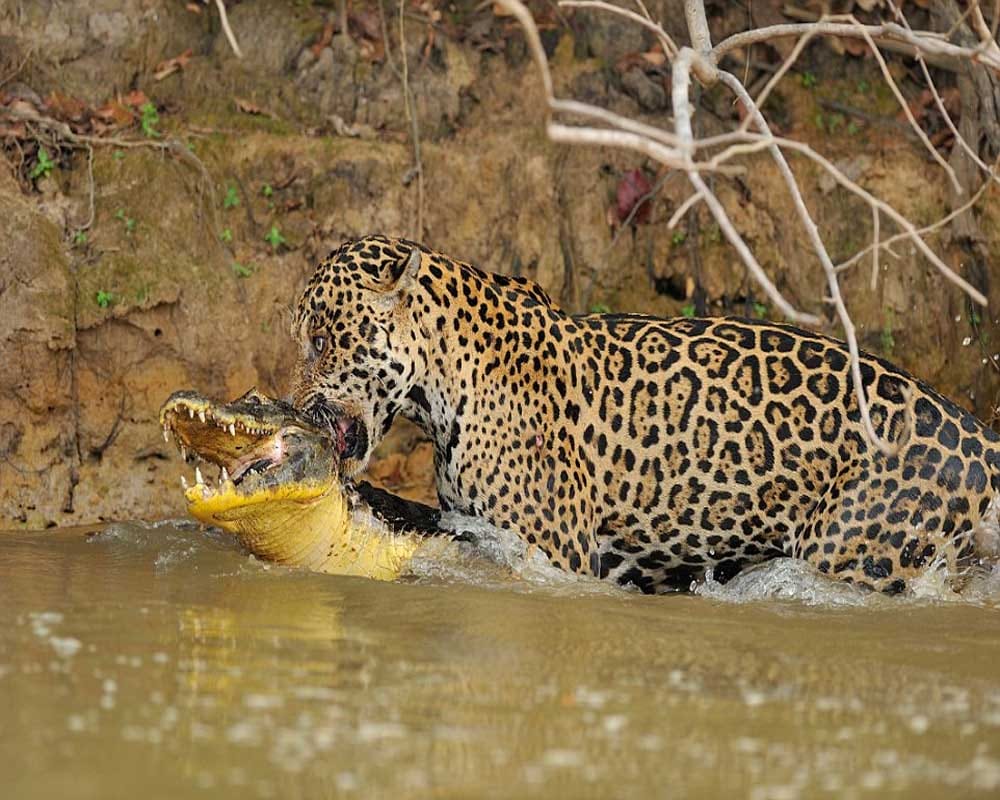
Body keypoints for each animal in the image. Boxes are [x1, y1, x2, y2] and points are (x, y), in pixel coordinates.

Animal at [290, 234, 1000, 594]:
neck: (442, 386)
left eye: (319, 341)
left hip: (855, 552)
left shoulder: (552, 556)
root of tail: (978, 435)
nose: (297, 408)